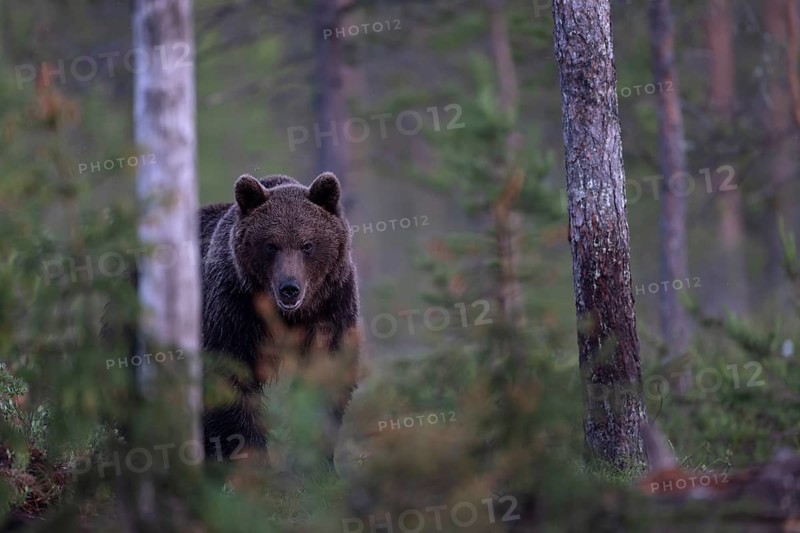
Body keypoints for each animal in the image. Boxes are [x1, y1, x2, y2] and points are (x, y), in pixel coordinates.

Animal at [200, 172, 360, 462]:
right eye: (270, 245)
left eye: (307, 245)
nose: (289, 288)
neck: (287, 315)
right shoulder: (232, 309)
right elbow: (229, 380)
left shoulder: (331, 307)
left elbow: (326, 374)